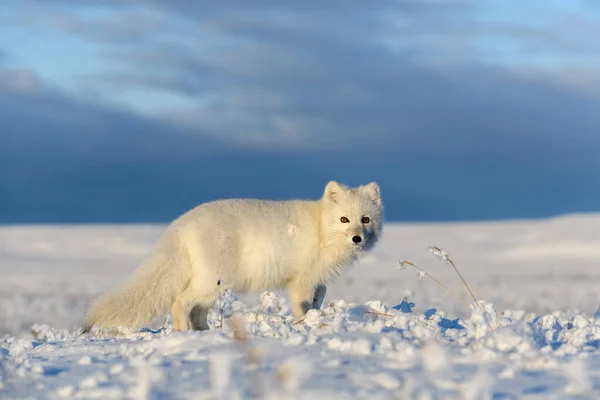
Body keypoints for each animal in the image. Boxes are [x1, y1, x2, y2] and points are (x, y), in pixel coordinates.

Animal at [82, 180, 384, 332]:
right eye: (344, 219)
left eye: (365, 219)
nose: (357, 238)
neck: (321, 228)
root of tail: (180, 223)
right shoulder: (300, 281)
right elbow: (302, 307)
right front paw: (304, 325)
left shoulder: (318, 281)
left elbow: (319, 299)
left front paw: (316, 317)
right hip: (214, 281)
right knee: (181, 302)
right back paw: (184, 334)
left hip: (215, 286)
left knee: (197, 312)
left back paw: (207, 334)